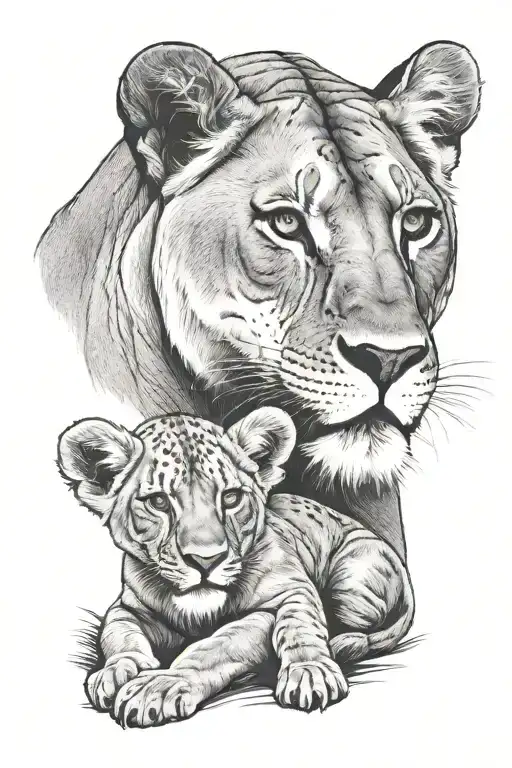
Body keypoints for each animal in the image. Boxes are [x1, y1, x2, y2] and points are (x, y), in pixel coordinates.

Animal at [57, 406, 413, 727]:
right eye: (158, 502)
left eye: (230, 498)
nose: (206, 560)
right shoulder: (129, 606)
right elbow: (120, 634)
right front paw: (116, 671)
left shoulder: (290, 592)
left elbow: (228, 643)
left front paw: (161, 685)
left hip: (350, 583)